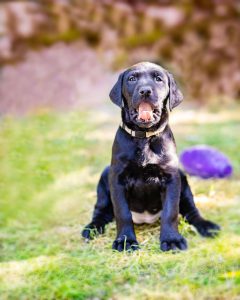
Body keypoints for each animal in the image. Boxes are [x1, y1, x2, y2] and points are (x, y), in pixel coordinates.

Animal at [81, 61, 220, 251]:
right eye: (132, 79)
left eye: (158, 79)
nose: (145, 91)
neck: (144, 138)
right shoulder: (117, 179)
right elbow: (122, 213)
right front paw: (126, 241)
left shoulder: (171, 178)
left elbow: (170, 212)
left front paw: (172, 240)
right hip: (105, 176)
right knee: (101, 212)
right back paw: (92, 228)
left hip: (183, 179)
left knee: (192, 212)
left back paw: (207, 226)